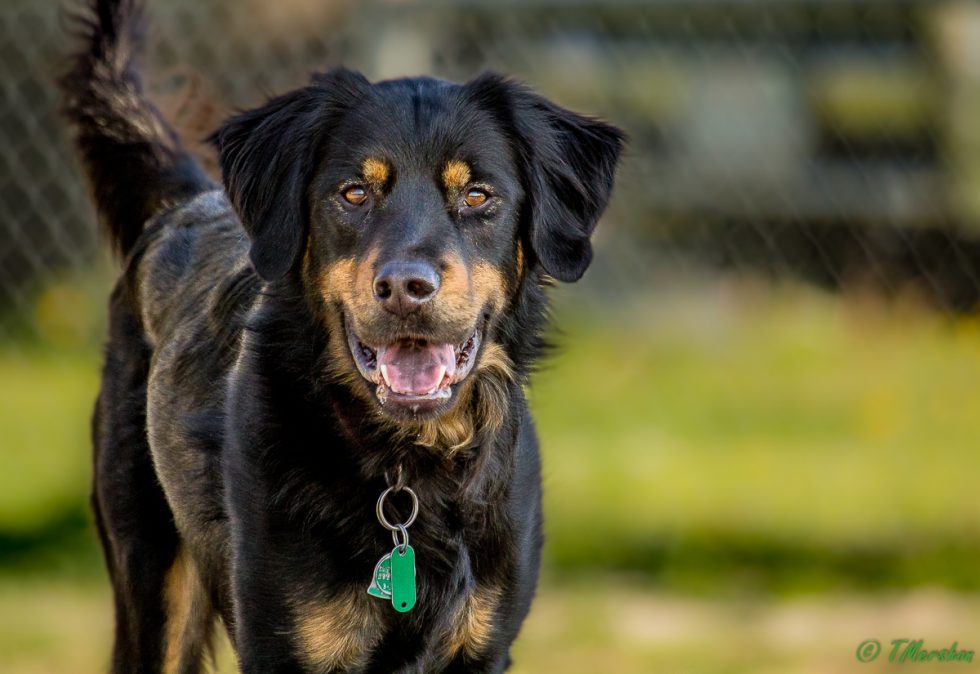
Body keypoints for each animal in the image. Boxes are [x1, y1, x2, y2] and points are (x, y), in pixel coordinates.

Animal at [59, 1, 620, 672]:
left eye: (477, 195)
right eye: (354, 193)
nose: (405, 287)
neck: (410, 470)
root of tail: (185, 205)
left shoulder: (483, 646)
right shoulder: (285, 645)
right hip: (151, 581)